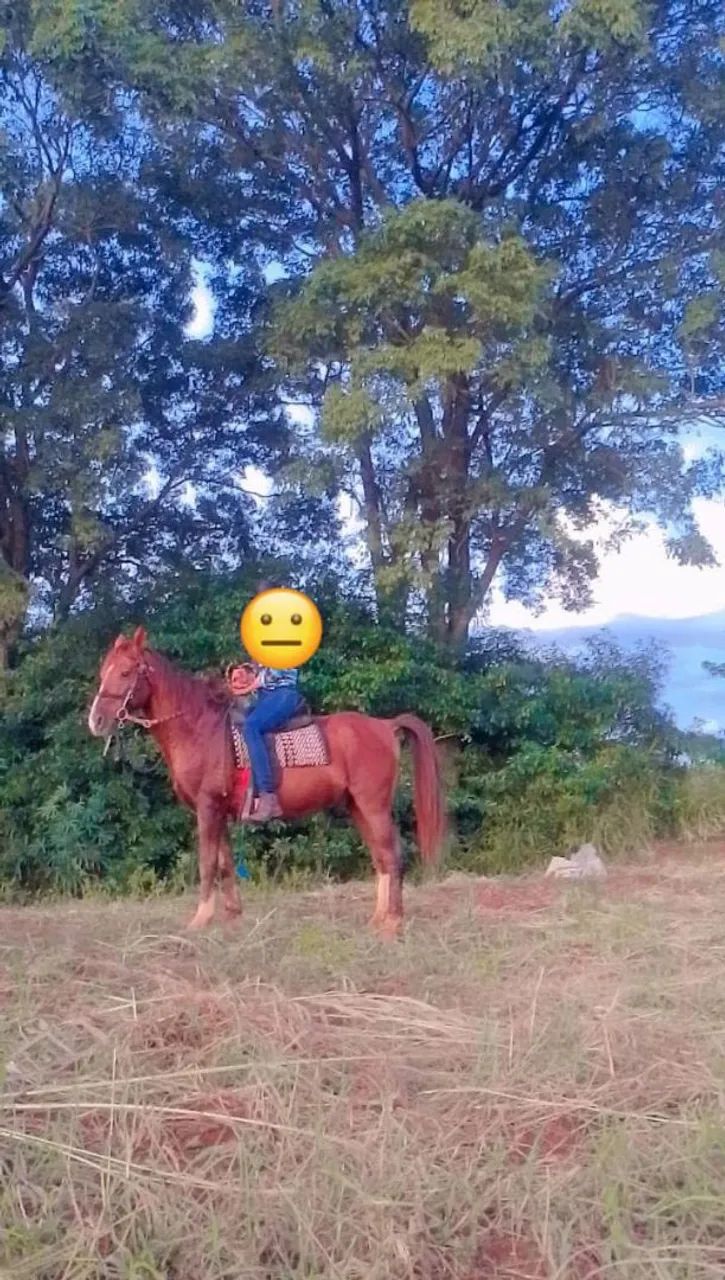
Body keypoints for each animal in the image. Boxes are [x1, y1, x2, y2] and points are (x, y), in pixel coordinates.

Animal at [87, 627, 446, 935]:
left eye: (126, 672)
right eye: (103, 671)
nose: (96, 721)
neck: (200, 729)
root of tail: (385, 725)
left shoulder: (207, 808)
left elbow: (207, 863)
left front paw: (200, 920)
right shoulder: (219, 812)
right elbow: (225, 863)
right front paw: (232, 916)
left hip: (374, 805)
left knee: (392, 854)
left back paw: (393, 923)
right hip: (358, 807)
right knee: (380, 857)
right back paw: (378, 919)